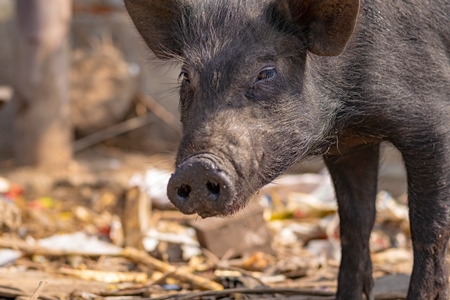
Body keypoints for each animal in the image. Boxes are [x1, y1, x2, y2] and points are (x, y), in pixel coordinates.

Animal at [124, 1, 450, 298]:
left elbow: (428, 228)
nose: (196, 167)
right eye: (186, 76)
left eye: (266, 73)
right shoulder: (349, 147)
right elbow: (355, 223)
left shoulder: (433, 125)